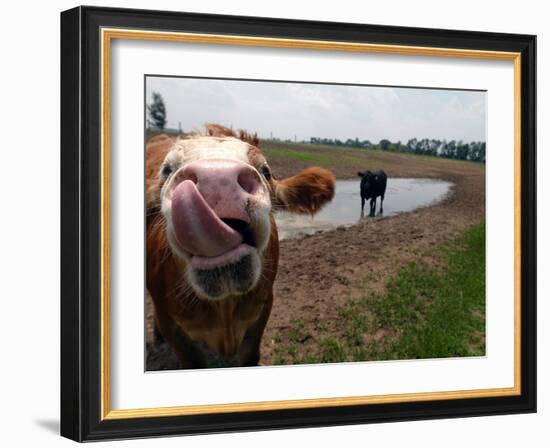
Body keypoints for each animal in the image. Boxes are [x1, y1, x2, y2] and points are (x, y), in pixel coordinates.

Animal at [147, 123, 336, 368]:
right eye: (167, 170)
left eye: (266, 171)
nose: (216, 179)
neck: (224, 309)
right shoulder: (171, 324)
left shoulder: (262, 309)